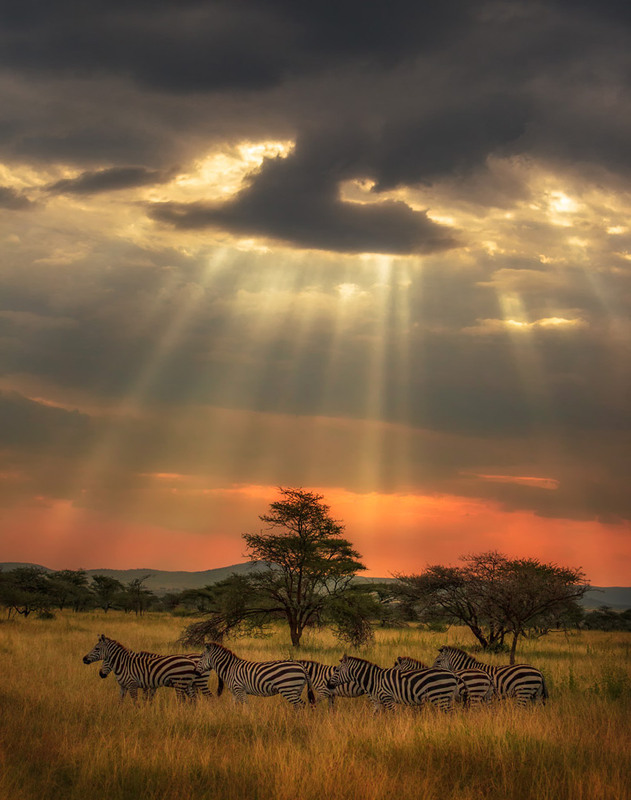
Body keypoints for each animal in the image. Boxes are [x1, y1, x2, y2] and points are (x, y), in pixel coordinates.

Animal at [83, 636, 215, 704]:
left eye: (97, 648)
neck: (125, 664)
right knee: (193, 699)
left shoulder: (136, 684)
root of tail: (193, 660)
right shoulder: (145, 685)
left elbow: (139, 701)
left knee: (205, 697)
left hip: (194, 682)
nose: (84, 659)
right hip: (188, 684)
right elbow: (124, 701)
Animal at [328, 656, 462, 712]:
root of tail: (452, 673)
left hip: (440, 697)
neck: (374, 679)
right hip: (446, 698)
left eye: (337, 670)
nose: (328, 685)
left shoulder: (388, 699)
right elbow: (375, 717)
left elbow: (393, 716)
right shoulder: (377, 702)